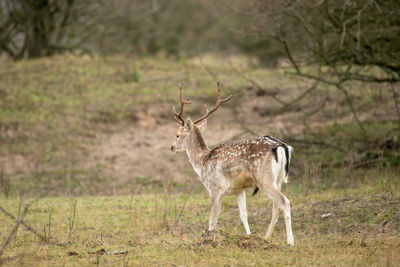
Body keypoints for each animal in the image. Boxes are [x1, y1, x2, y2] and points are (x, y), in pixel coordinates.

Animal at [170, 82, 294, 246]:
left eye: (177, 135)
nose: (171, 147)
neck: (202, 161)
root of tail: (281, 147)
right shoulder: (238, 190)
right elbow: (243, 215)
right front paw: (248, 237)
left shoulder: (215, 188)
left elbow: (213, 218)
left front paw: (208, 239)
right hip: (278, 179)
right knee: (276, 205)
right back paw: (266, 238)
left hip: (264, 177)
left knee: (284, 202)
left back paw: (290, 242)